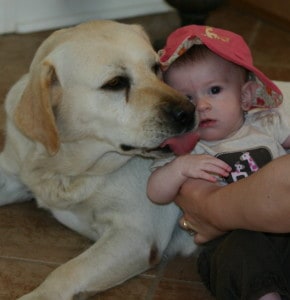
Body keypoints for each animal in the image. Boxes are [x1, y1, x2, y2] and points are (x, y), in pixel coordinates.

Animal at [0, 19, 198, 298]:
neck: (65, 169)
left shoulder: (136, 234)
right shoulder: (11, 175)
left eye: (156, 67)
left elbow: (67, 270)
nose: (189, 112)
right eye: (115, 83)